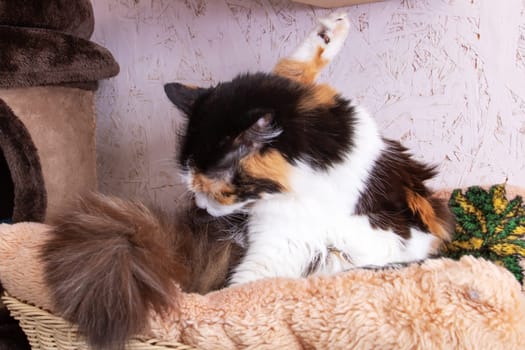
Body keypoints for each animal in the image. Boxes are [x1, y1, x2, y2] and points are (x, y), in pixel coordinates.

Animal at [41, 12, 452, 350]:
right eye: (191, 184)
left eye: (218, 190)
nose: (201, 207)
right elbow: (292, 68)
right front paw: (329, 30)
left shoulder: (285, 245)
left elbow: (243, 288)